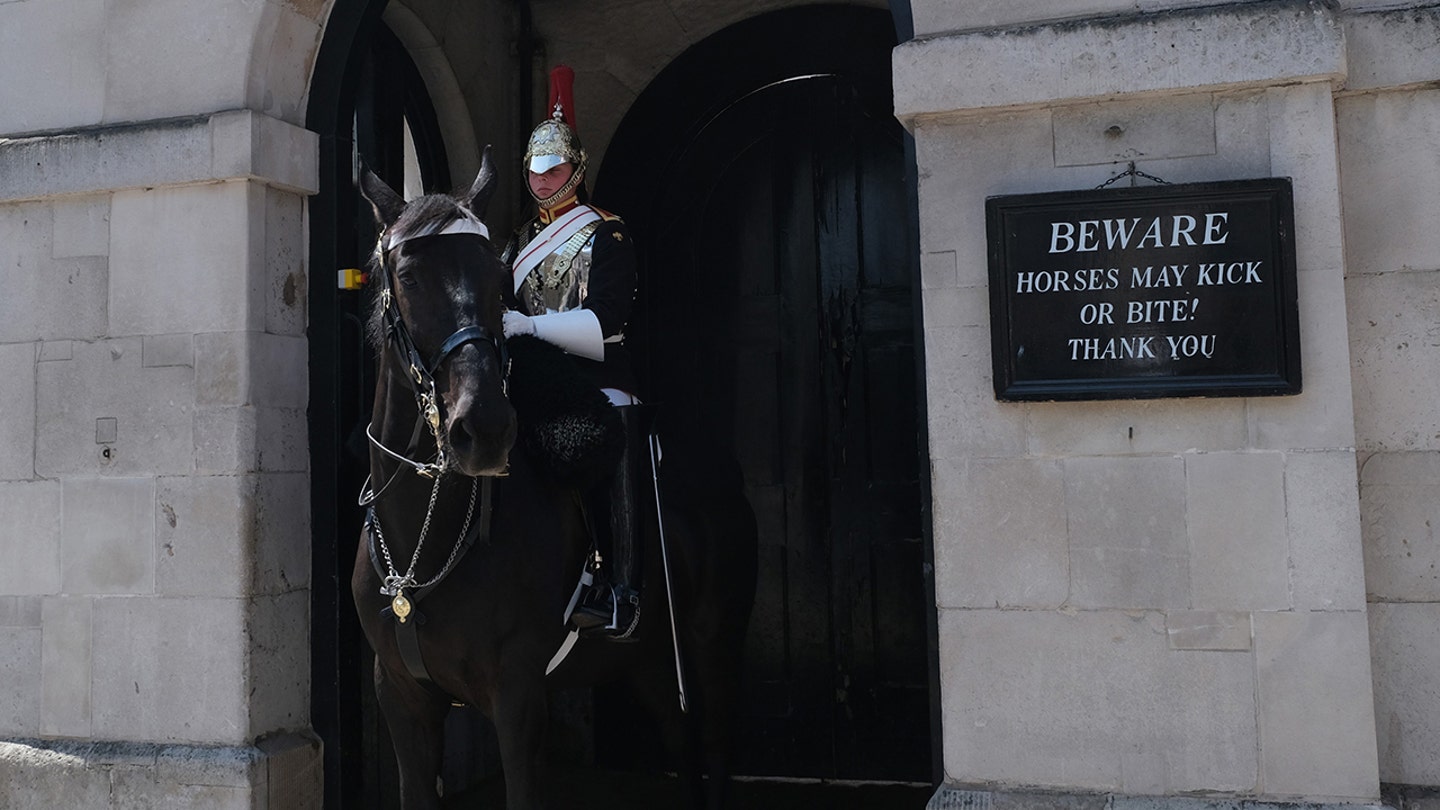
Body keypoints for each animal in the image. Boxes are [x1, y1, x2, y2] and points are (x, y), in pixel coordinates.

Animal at [349, 148, 760, 801]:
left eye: (495, 280)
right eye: (408, 278)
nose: (485, 428)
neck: (425, 542)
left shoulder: (518, 697)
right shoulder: (402, 695)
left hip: (714, 641)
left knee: (717, 746)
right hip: (647, 661)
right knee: (683, 746)